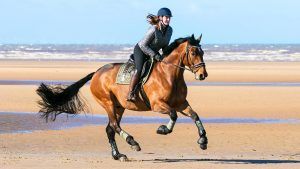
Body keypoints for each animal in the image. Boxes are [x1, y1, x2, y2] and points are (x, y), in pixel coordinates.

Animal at [35, 34, 209, 161]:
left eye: (202, 52)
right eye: (193, 52)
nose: (203, 75)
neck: (168, 74)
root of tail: (97, 72)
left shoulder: (181, 103)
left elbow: (195, 115)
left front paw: (203, 140)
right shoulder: (157, 104)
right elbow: (173, 115)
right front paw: (163, 129)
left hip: (119, 107)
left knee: (110, 129)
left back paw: (118, 155)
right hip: (108, 103)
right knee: (114, 125)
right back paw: (133, 143)